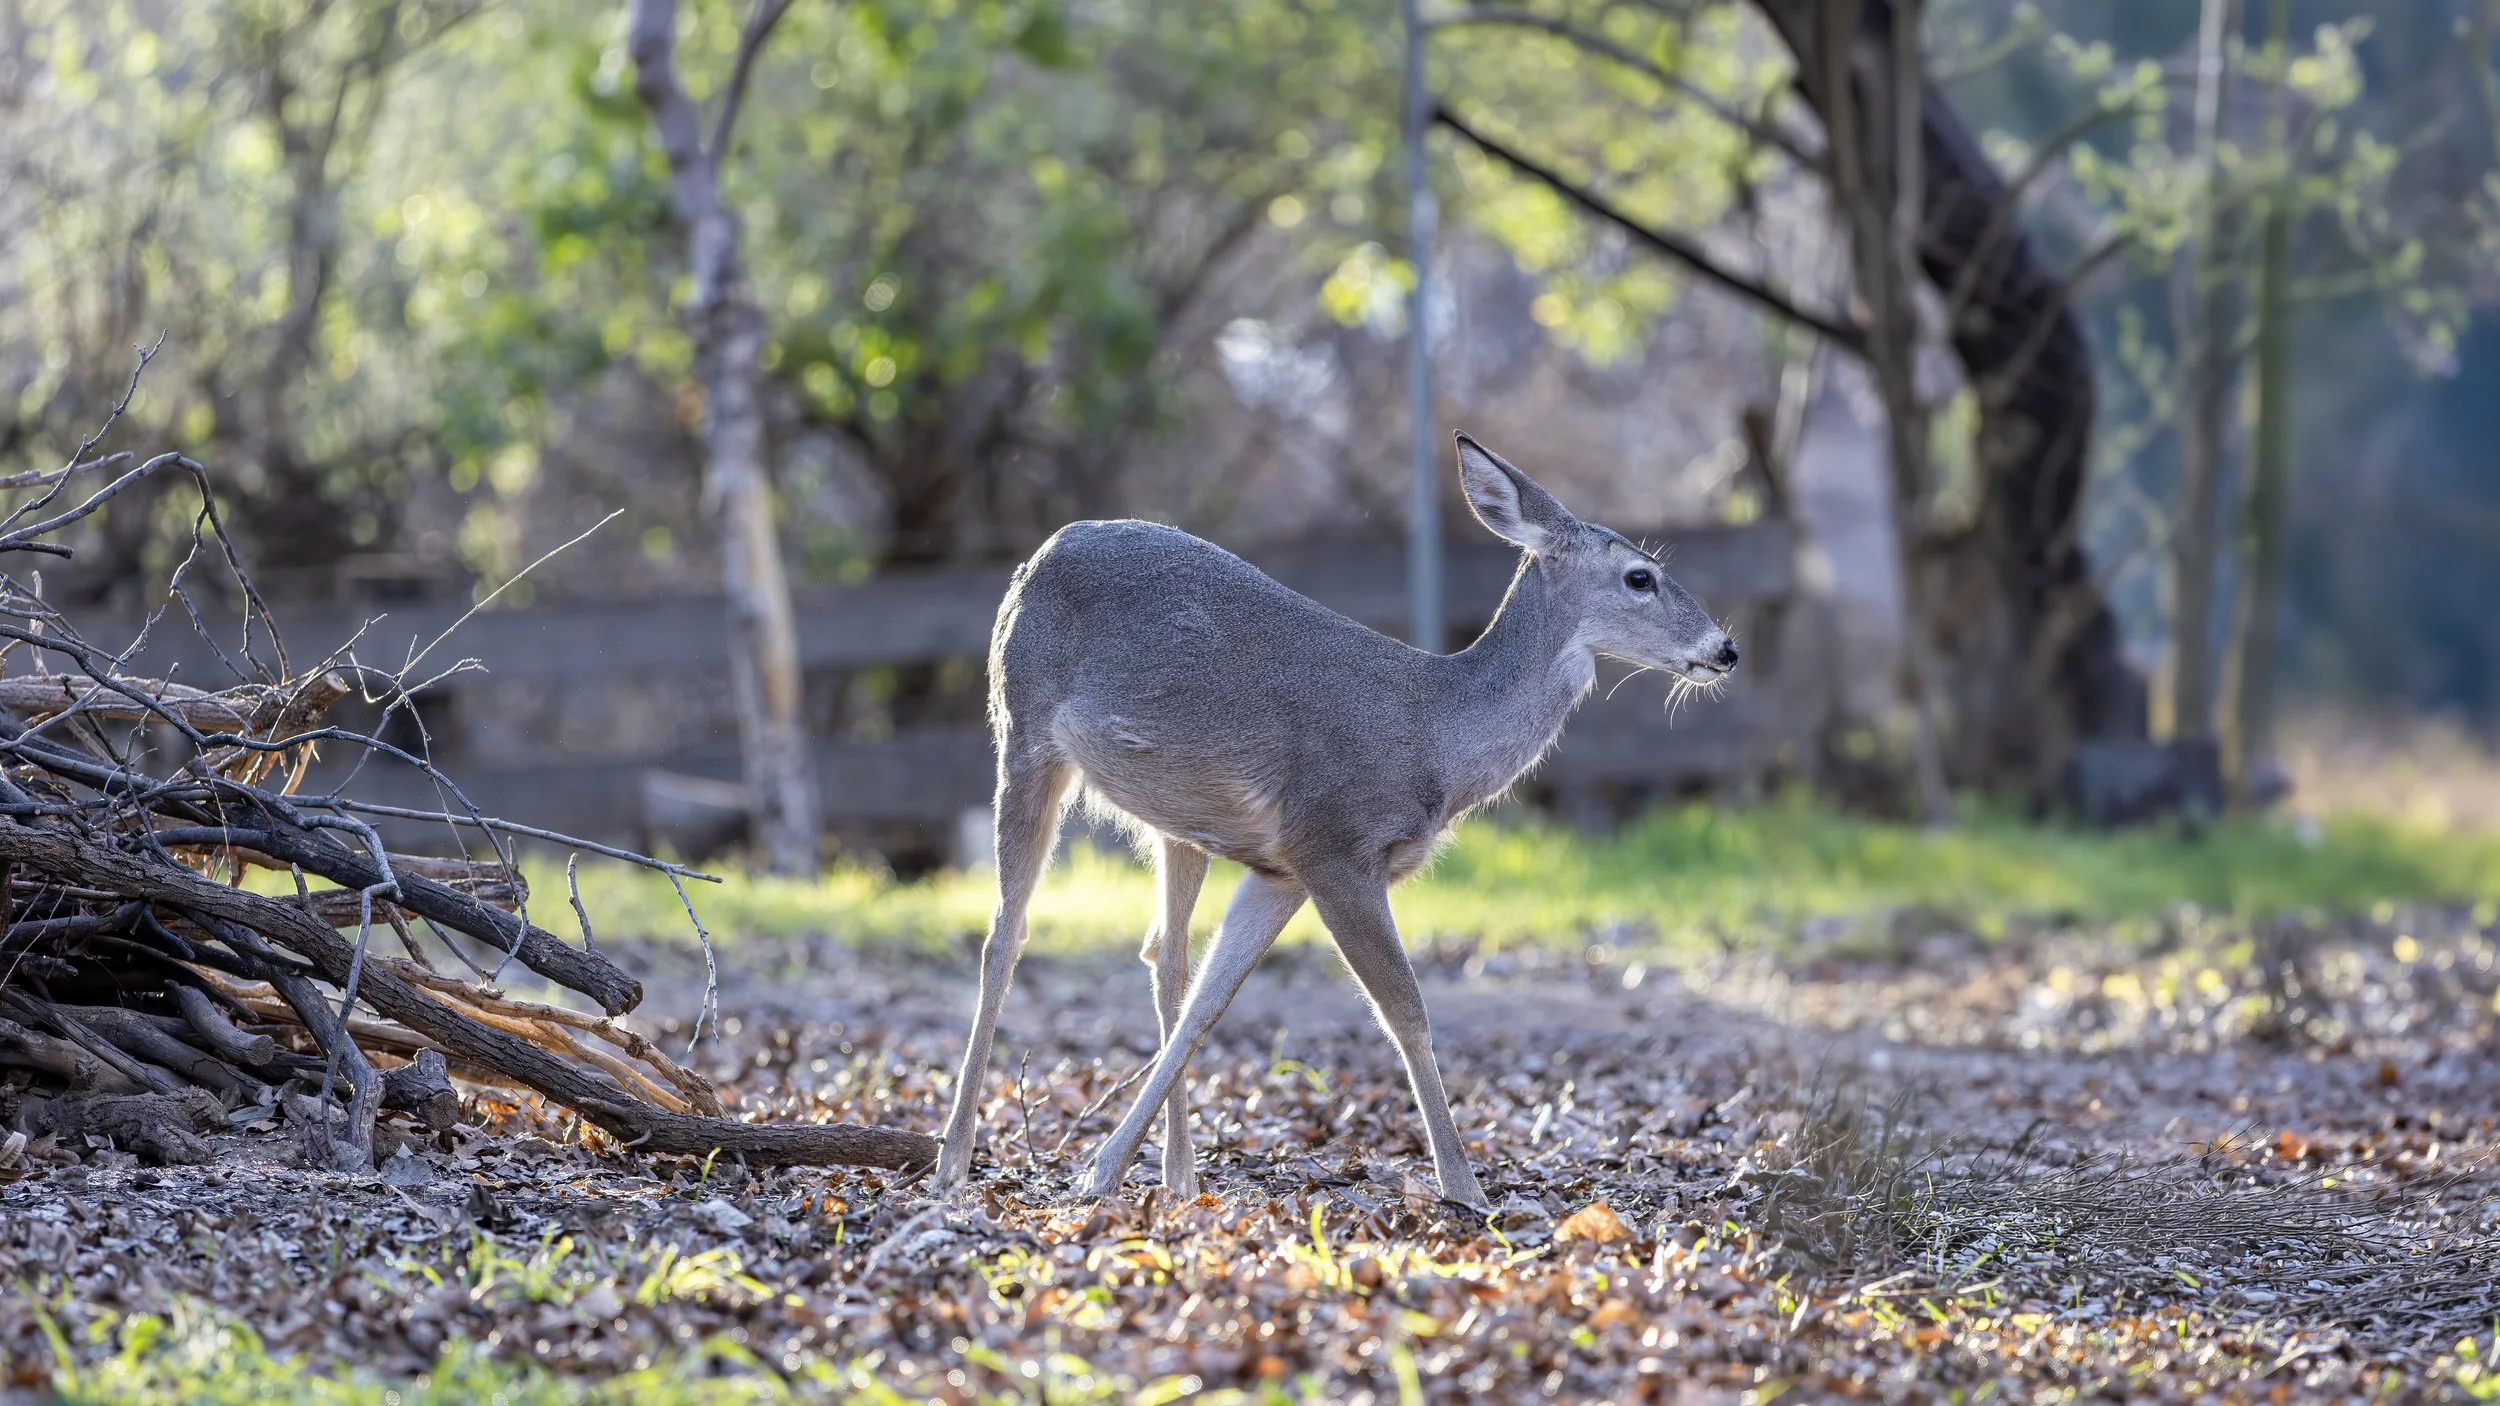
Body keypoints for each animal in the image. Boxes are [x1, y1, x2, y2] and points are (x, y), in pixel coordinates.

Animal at [931, 432, 1740, 1210]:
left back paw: (1177, 1173)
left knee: (1165, 955)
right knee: (1005, 934)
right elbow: (1406, 1010)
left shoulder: (1280, 867)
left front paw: (1100, 1171)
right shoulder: (1336, 844)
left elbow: (1212, 1004)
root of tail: (1040, 554)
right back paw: (953, 1161)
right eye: (1640, 577)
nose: (1726, 648)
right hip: (1023, 729)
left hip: (1174, 817)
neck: (1435, 734)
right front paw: (1467, 1187)